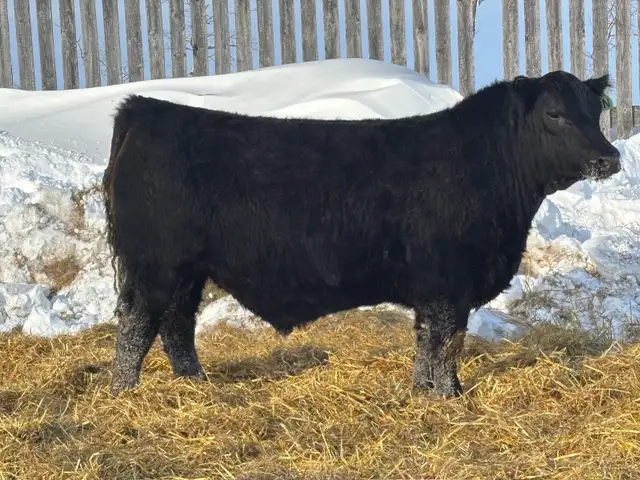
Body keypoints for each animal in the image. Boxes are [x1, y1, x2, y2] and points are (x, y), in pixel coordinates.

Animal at [102, 70, 621, 398]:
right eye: (554, 114)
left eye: (594, 111)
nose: (608, 158)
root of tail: (144, 110)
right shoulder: (448, 285)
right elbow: (445, 344)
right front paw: (448, 397)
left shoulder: (436, 288)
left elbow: (427, 343)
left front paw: (425, 394)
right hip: (156, 265)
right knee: (136, 328)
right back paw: (124, 393)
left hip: (186, 271)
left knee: (176, 326)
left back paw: (196, 385)